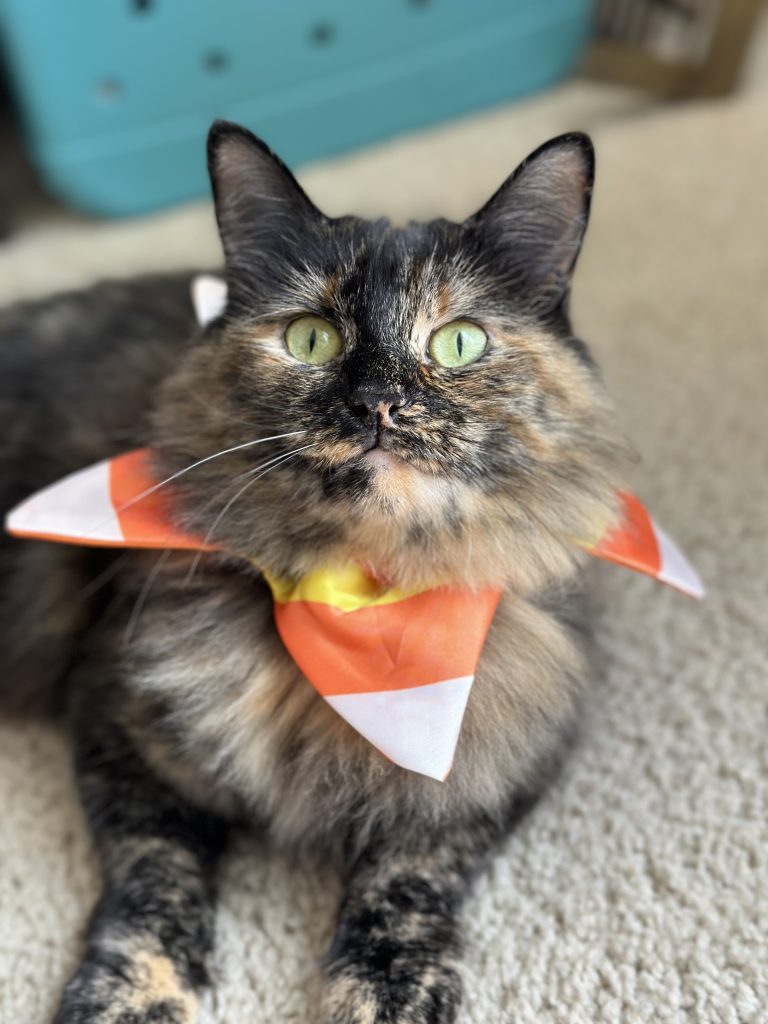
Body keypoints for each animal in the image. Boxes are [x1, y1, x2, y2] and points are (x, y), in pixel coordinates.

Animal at [0, 121, 630, 1024]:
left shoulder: (501, 755)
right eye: (311, 338)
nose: (378, 403)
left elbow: (409, 877)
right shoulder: (119, 722)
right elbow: (156, 880)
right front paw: (130, 997)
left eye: (459, 342)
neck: (358, 597)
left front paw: (387, 990)